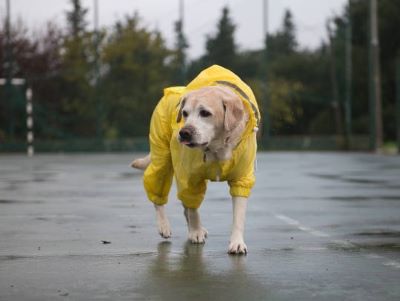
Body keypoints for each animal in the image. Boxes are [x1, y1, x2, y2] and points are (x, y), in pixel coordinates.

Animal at [131, 65, 260, 253]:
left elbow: (239, 214)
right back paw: (165, 225)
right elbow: (192, 207)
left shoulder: (242, 178)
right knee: (159, 193)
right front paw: (196, 232)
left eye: (205, 113)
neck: (217, 147)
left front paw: (237, 242)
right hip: (162, 157)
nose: (183, 133)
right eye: (184, 113)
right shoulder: (188, 178)